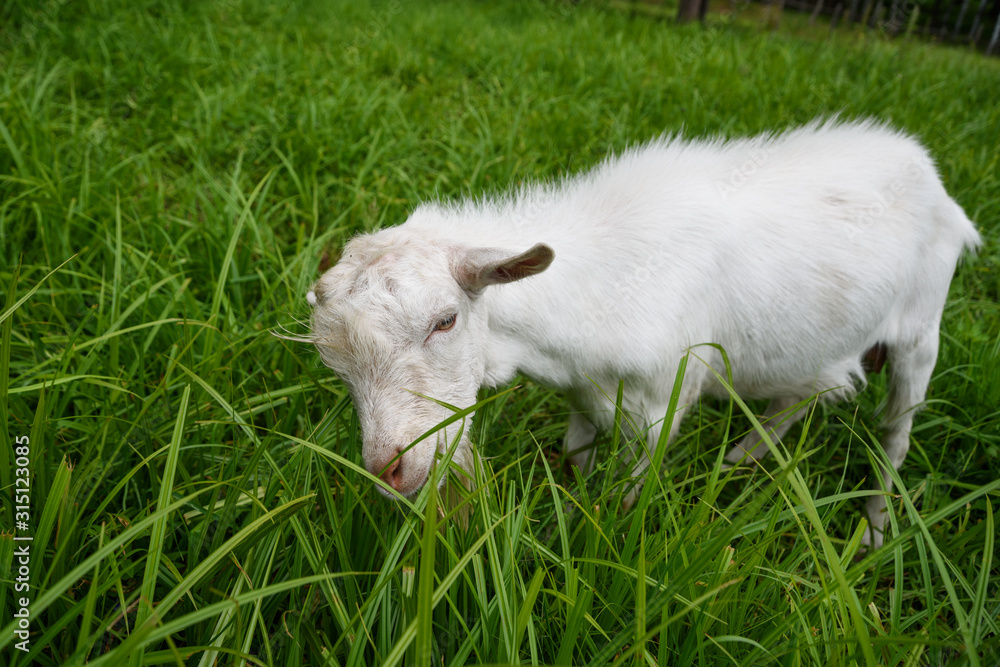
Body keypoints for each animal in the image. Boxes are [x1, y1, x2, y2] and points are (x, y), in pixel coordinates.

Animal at [307, 119, 980, 547]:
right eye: (334, 365)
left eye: (445, 320)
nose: (390, 471)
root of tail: (931, 177)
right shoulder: (582, 393)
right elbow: (574, 455)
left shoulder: (662, 404)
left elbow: (629, 496)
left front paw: (606, 534)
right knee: (810, 392)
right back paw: (741, 460)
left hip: (922, 330)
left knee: (894, 435)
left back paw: (873, 532)